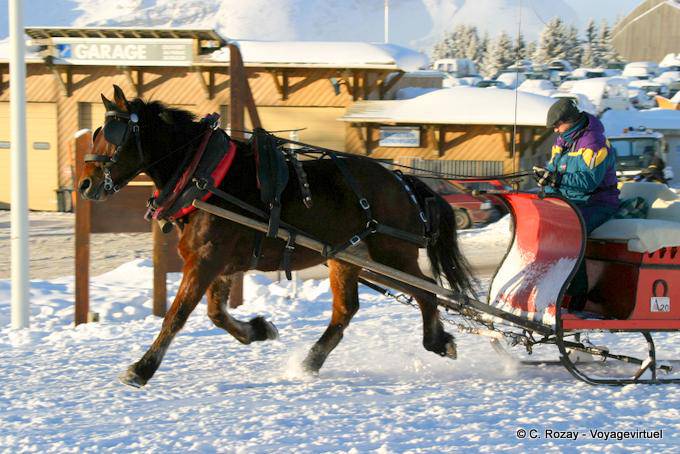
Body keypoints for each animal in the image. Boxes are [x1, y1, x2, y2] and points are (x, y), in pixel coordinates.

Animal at [78, 85, 474, 388]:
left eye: (112, 136)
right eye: (94, 134)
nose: (84, 185)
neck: (203, 176)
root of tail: (402, 181)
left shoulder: (206, 261)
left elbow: (177, 315)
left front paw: (141, 369)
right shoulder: (219, 265)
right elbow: (215, 314)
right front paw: (258, 329)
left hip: (394, 253)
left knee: (427, 291)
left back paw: (438, 341)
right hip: (346, 257)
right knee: (346, 310)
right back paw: (311, 361)